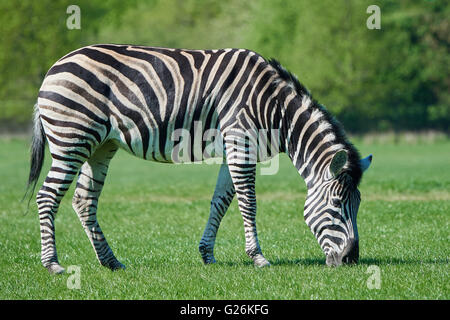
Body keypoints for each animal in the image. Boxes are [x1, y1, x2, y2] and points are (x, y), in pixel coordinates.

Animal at [26, 44, 374, 276]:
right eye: (336, 205)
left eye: (358, 204)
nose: (351, 260)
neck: (275, 108)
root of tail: (54, 66)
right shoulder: (240, 142)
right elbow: (248, 202)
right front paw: (258, 257)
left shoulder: (233, 148)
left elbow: (221, 201)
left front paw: (207, 254)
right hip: (72, 139)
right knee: (47, 196)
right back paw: (53, 264)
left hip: (101, 146)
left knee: (84, 200)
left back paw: (110, 262)